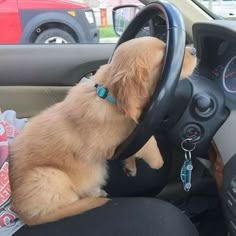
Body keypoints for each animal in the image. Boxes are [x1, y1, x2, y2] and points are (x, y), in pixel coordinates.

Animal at [8, 36, 196, 225]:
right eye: (164, 57)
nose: (194, 50)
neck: (108, 95)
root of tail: (24, 216)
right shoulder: (106, 144)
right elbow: (147, 139)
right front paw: (157, 160)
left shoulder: (130, 138)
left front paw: (130, 165)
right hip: (49, 176)